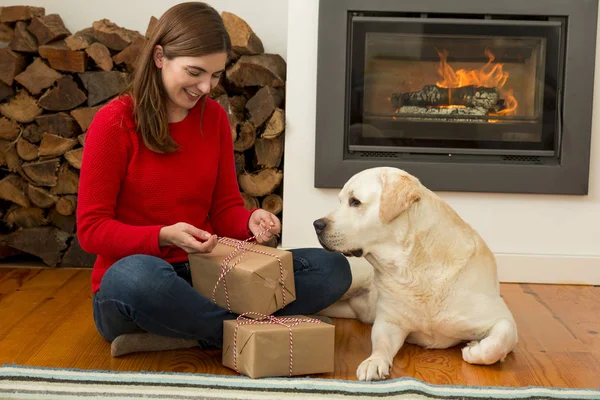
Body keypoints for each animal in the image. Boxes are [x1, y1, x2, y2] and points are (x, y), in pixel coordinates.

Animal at [316, 166, 516, 382]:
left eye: (355, 201)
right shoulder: (390, 322)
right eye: (341, 201)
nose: (317, 224)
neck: (414, 267)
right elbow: (380, 344)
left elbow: (497, 343)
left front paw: (474, 349)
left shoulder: (502, 318)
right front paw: (374, 362)